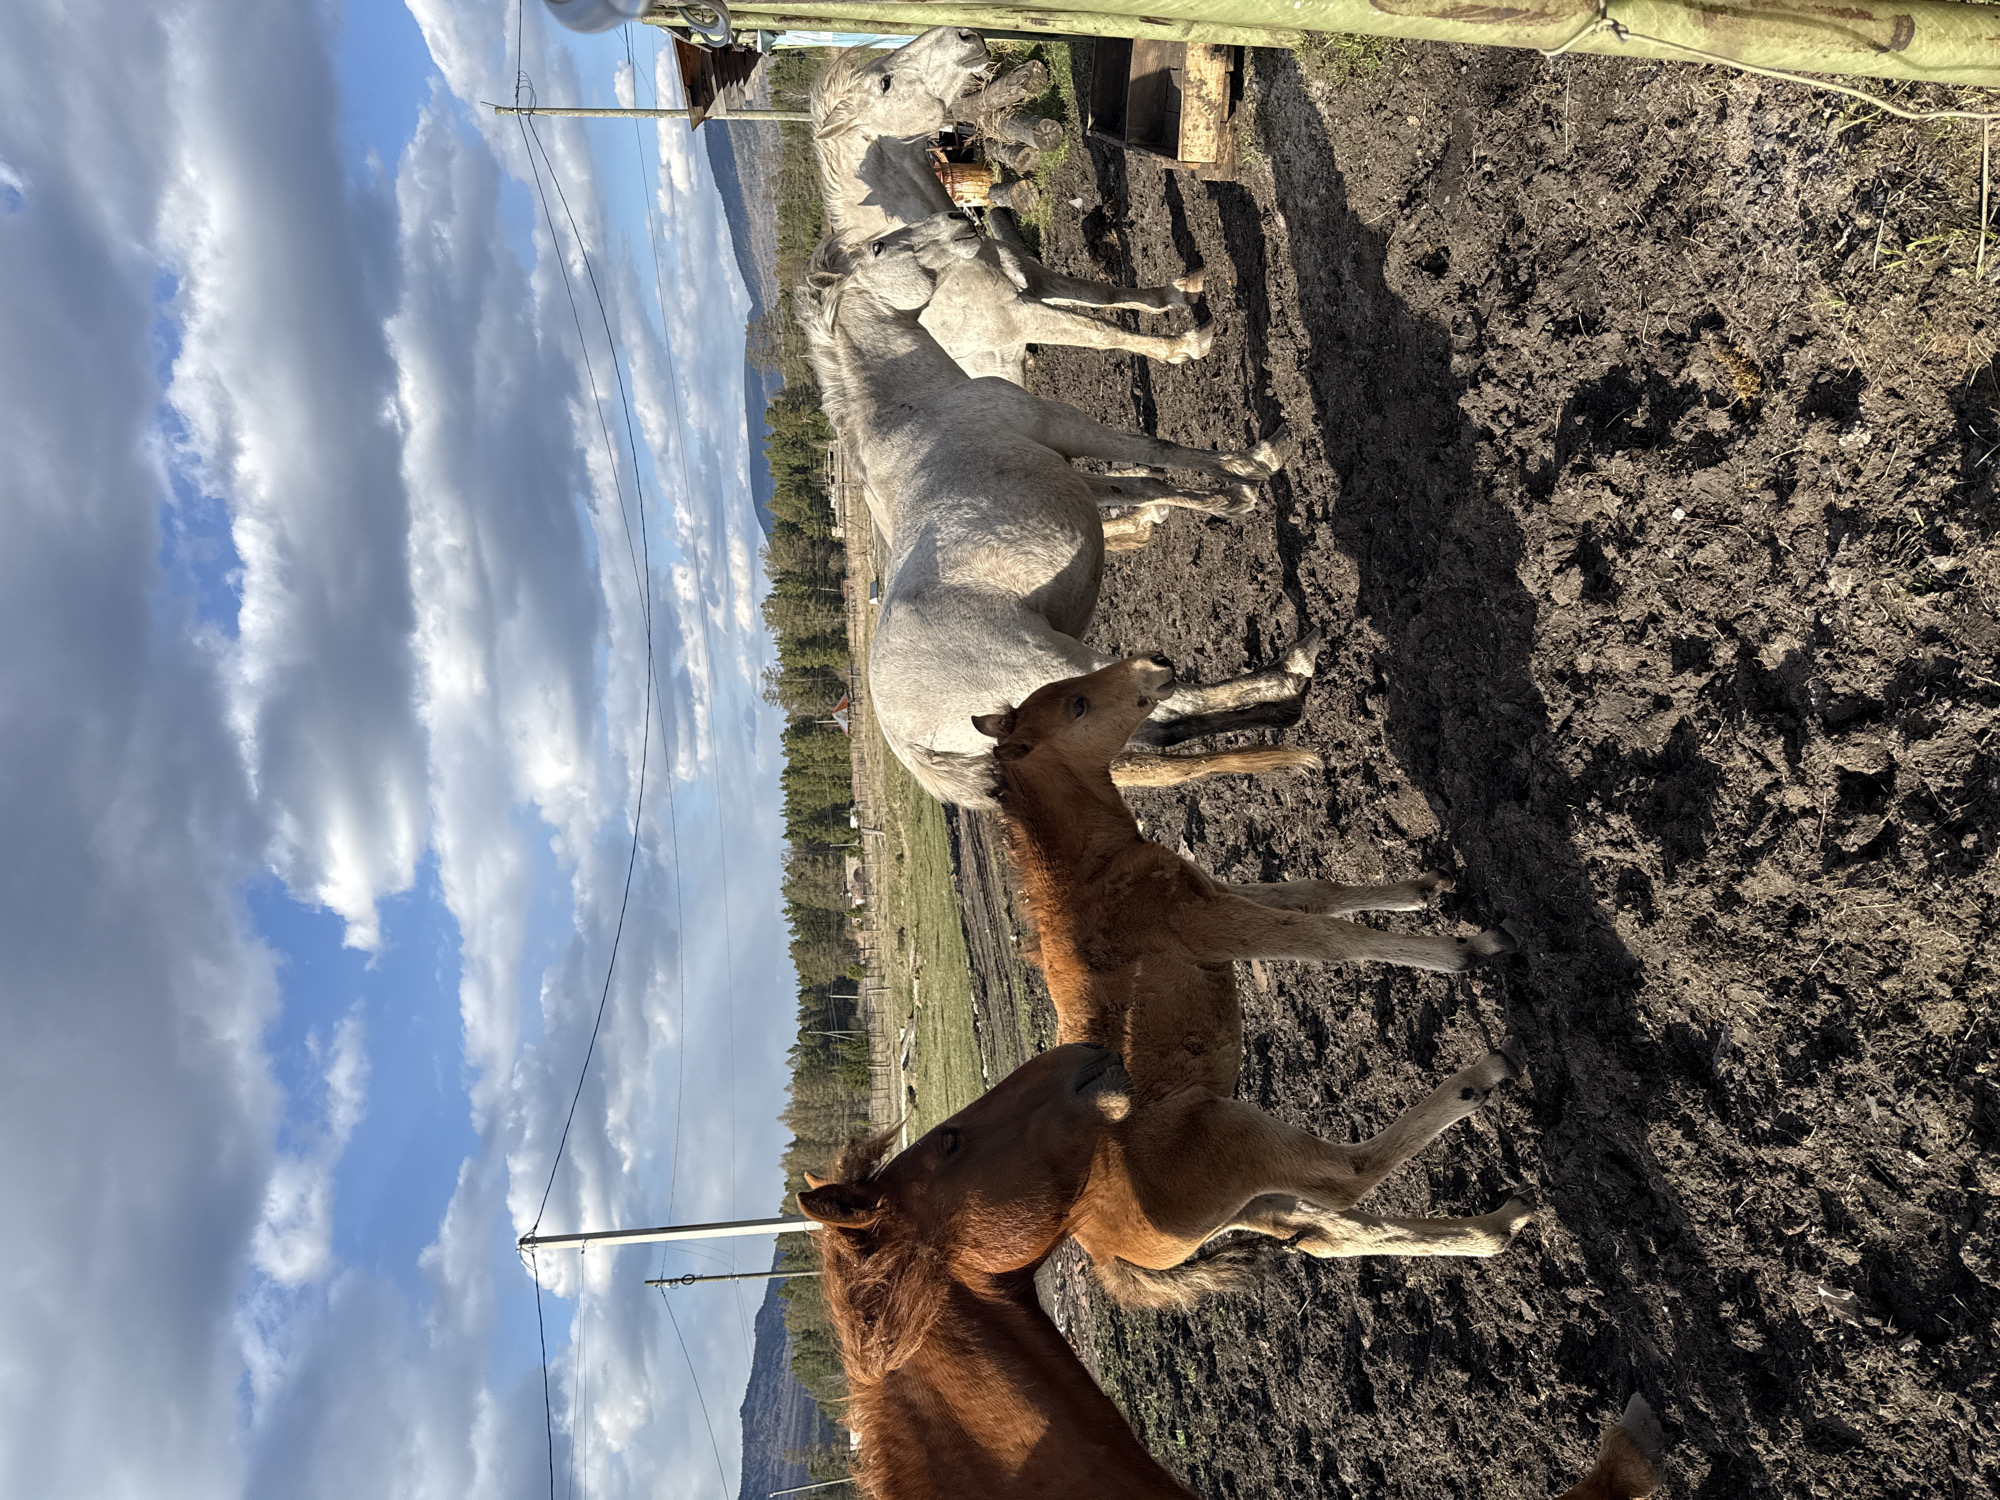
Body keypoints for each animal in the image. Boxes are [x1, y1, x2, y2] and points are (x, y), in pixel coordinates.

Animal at [798, 214, 1324, 808]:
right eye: (881, 247)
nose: (958, 220)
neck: (912, 408)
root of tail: (915, 747)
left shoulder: (1066, 463)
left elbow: (1143, 483)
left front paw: (1230, 497)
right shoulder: (1061, 425)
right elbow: (1154, 450)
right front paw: (1255, 463)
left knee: (1162, 728)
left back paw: (1282, 715)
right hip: (1068, 667)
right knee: (1176, 701)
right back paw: (1290, 670)